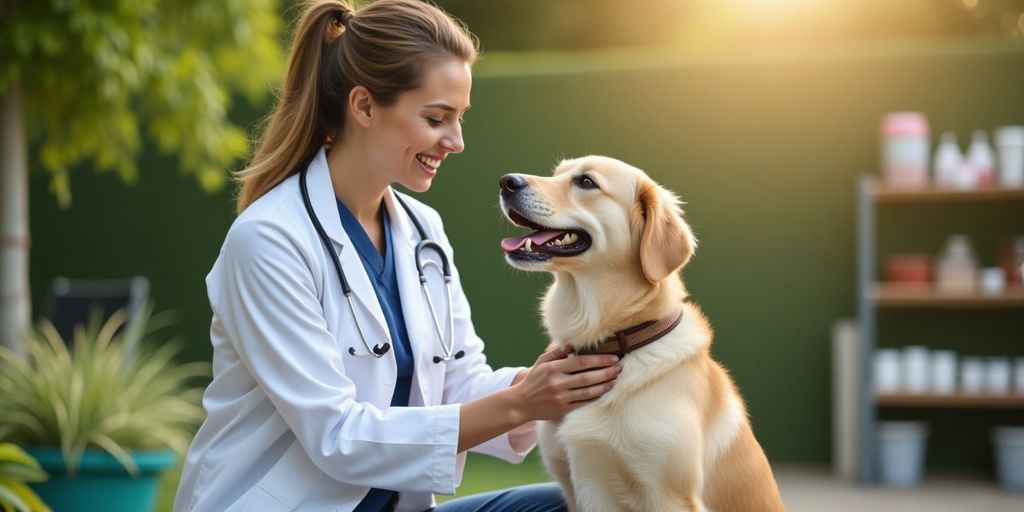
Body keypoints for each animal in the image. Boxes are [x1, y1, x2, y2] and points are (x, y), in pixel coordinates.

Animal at [497, 155, 782, 512]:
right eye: (556, 174)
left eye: (586, 182)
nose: (506, 182)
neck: (614, 343)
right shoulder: (571, 486)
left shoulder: (668, 496)